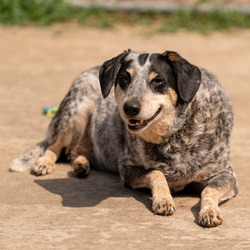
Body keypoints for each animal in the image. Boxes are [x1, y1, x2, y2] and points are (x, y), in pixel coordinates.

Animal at [11, 48, 238, 227]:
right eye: (124, 79)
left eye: (158, 80)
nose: (130, 108)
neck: (173, 135)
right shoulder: (127, 169)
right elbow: (156, 172)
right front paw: (163, 199)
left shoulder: (226, 175)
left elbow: (208, 190)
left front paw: (210, 211)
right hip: (76, 110)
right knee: (54, 145)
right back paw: (44, 163)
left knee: (75, 153)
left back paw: (81, 165)